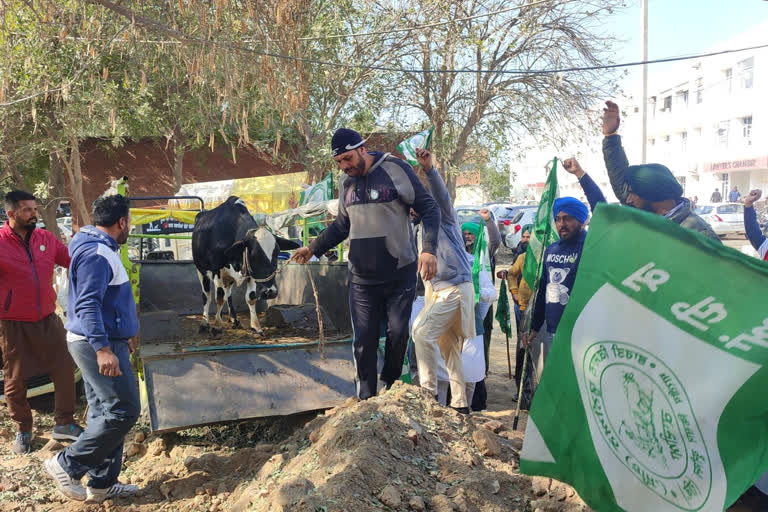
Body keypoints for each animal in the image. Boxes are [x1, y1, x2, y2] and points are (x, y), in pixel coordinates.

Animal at [192, 196, 300, 336]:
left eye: (277, 253)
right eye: (254, 255)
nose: (270, 292)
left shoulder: (250, 274)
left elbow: (251, 297)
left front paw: (256, 327)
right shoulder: (217, 270)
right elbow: (219, 297)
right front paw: (216, 326)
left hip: (228, 278)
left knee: (228, 294)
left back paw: (233, 319)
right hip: (201, 270)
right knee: (207, 295)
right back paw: (205, 323)